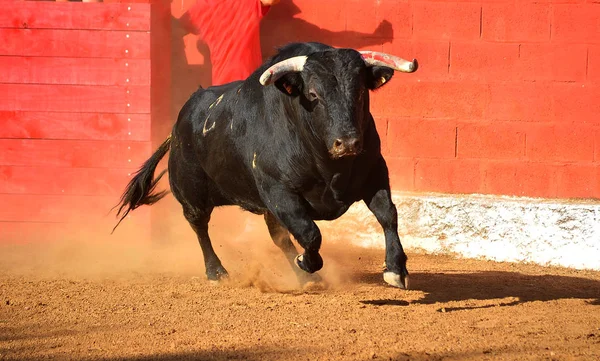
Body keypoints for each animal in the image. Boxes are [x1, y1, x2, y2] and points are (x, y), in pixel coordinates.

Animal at [113, 42, 418, 288]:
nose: (348, 143)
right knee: (199, 226)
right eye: (313, 94)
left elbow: (388, 215)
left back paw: (305, 279)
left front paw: (396, 270)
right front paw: (306, 263)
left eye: (360, 93)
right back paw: (217, 272)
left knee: (278, 237)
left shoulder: (375, 172)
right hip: (191, 193)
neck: (328, 165)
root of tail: (177, 125)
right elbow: (310, 233)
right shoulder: (279, 192)